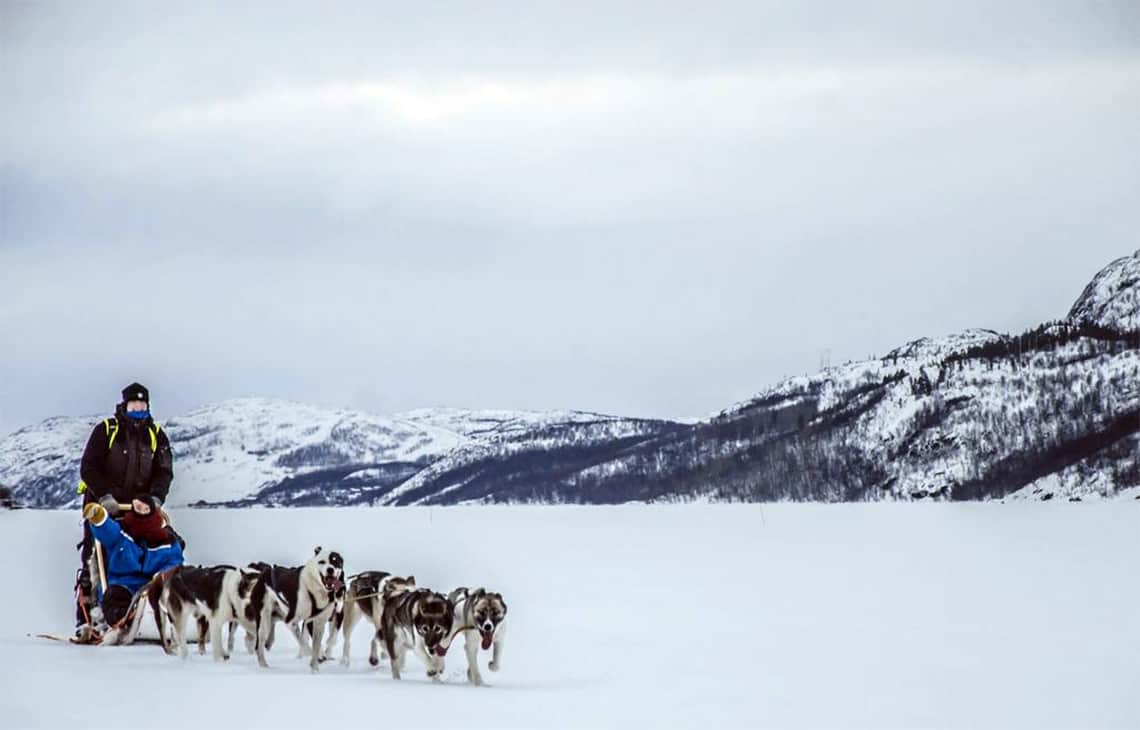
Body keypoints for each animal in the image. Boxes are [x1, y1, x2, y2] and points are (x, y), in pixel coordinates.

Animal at [245, 547, 342, 675]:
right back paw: (264, 667)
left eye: (336, 561)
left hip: (276, 617)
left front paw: (314, 670)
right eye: (322, 562)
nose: (330, 569)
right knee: (258, 646)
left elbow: (316, 647)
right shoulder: (291, 621)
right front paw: (317, 658)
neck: (314, 590)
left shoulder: (318, 623)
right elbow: (305, 643)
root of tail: (266, 572)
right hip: (263, 622)